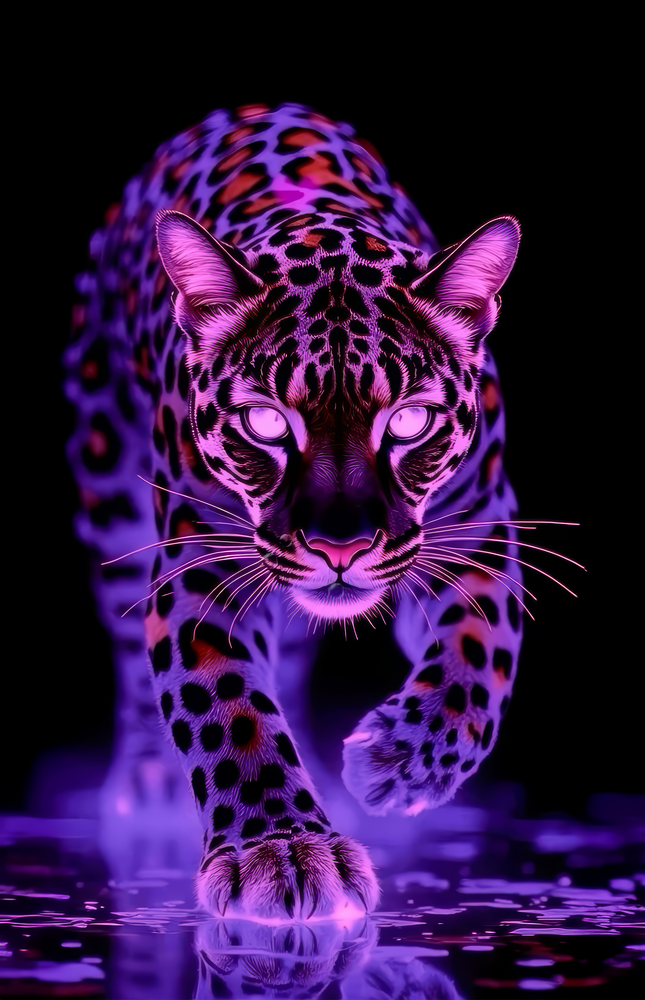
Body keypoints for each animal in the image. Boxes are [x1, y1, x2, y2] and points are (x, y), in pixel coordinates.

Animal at [65, 101, 533, 922]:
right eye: (265, 423)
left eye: (409, 421)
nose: (338, 548)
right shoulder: (201, 567)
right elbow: (229, 708)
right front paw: (280, 849)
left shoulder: (480, 532)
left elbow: (478, 659)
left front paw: (399, 763)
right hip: (105, 474)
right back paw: (150, 782)